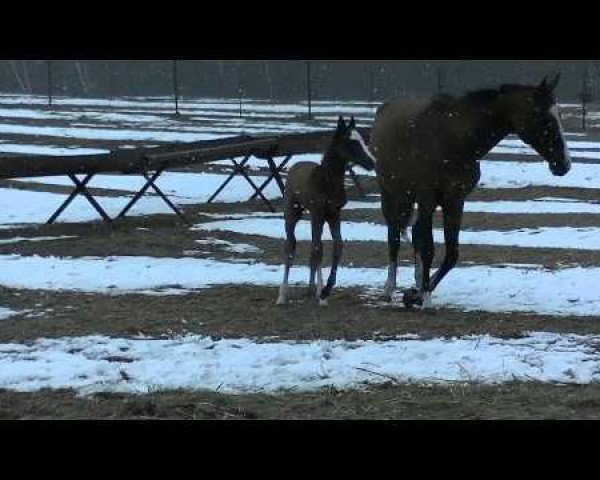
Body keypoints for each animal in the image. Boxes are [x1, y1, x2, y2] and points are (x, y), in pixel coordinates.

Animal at [276, 114, 376, 306]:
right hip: (292, 213)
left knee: (315, 246)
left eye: (361, 139)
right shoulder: (318, 213)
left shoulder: (334, 214)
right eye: (351, 142)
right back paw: (282, 296)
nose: (372, 162)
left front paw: (325, 291)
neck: (327, 182)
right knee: (291, 246)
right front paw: (321, 293)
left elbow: (337, 246)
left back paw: (311, 289)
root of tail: (294, 166)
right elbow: (317, 249)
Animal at [370, 75, 572, 308]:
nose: (564, 164)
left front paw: (417, 293)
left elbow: (451, 254)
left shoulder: (455, 200)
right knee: (394, 235)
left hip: (409, 197)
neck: (455, 140)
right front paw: (424, 297)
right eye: (544, 118)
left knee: (412, 233)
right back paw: (389, 288)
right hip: (391, 193)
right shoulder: (428, 198)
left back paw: (417, 281)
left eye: (559, 115)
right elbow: (428, 245)